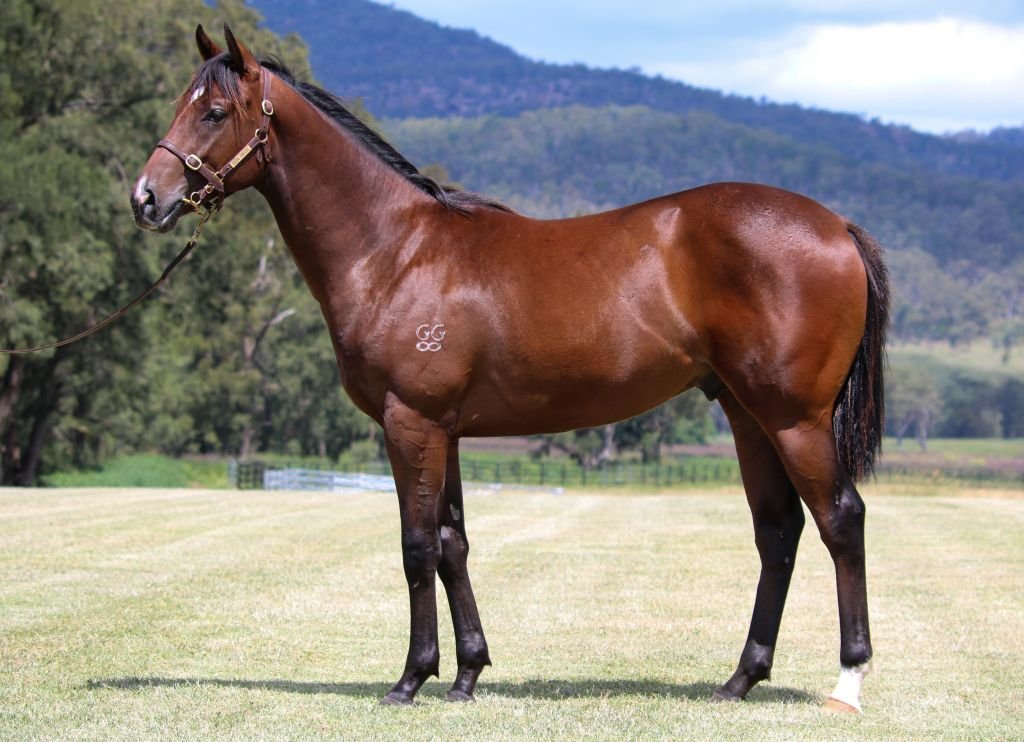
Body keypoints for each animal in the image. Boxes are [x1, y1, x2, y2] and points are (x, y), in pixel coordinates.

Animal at [131, 25, 888, 711]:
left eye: (214, 111)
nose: (145, 198)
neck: (396, 251)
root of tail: (838, 227)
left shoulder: (411, 423)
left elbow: (416, 548)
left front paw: (411, 679)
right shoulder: (446, 431)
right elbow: (453, 544)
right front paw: (466, 673)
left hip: (794, 419)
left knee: (840, 519)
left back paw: (847, 682)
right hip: (746, 415)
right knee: (778, 532)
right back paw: (739, 679)